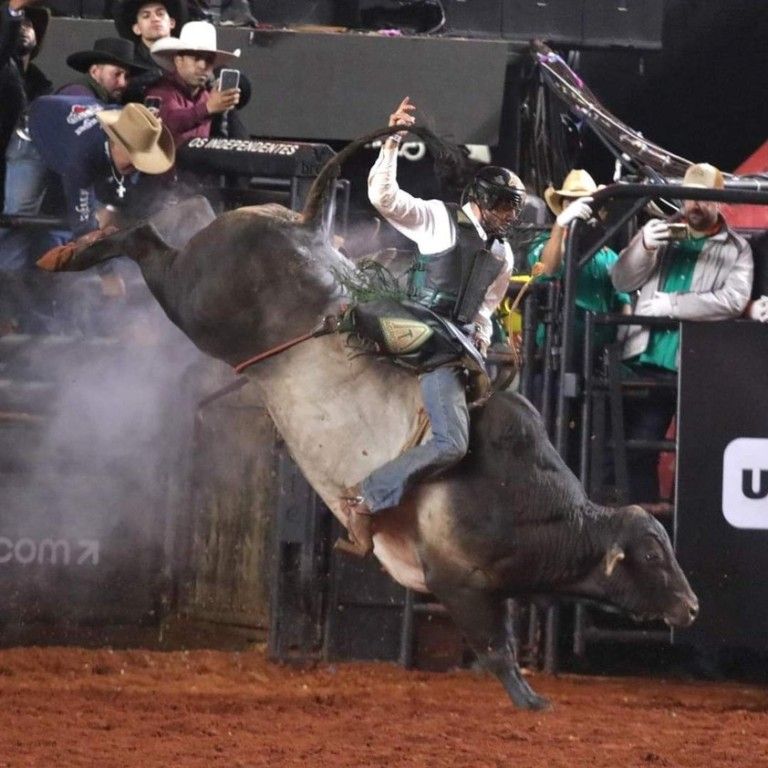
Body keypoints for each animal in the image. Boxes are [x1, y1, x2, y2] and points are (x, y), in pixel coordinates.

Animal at [42, 124, 704, 708]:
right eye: (651, 557)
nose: (691, 607)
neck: (538, 507)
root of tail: (307, 224)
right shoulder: (459, 582)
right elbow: (497, 648)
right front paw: (530, 700)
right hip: (196, 302)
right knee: (146, 239)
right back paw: (72, 253)